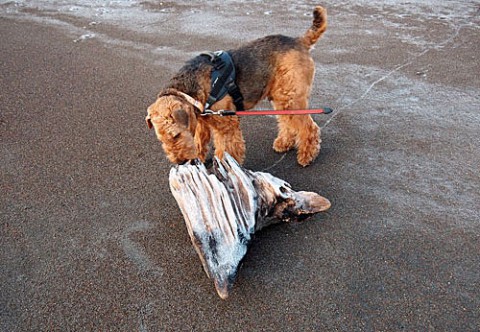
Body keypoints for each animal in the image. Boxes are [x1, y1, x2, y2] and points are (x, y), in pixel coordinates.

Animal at [145, 5, 326, 166]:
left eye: (175, 135)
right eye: (161, 139)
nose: (180, 161)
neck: (190, 93)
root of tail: (299, 41)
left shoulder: (226, 124)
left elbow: (225, 149)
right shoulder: (202, 122)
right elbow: (199, 142)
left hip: (291, 96)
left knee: (309, 127)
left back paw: (306, 155)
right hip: (282, 96)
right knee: (287, 122)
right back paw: (283, 143)